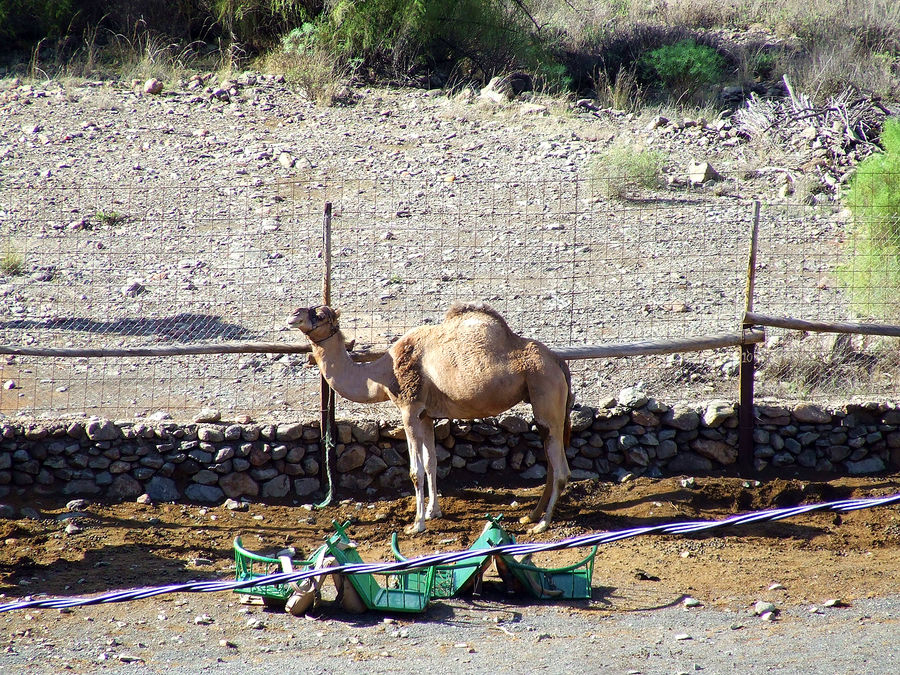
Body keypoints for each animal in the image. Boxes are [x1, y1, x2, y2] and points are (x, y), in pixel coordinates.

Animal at [284, 304, 572, 536]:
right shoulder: (425, 414)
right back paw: (531, 516)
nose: (293, 315)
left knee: (561, 469)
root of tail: (558, 361)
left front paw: (417, 524)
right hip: (540, 397)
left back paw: (542, 524)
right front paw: (434, 512)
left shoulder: (409, 409)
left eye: (321, 315)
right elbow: (432, 463)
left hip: (545, 390)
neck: (383, 374)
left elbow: (415, 470)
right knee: (551, 460)